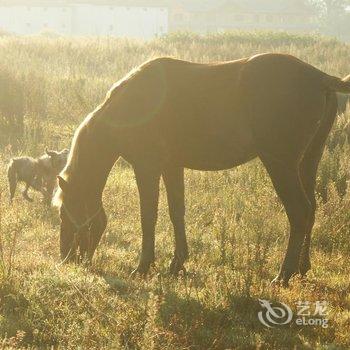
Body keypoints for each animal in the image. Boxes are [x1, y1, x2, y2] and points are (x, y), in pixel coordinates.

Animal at [54, 53, 350, 286]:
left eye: (63, 213)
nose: (66, 258)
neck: (130, 105)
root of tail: (320, 77)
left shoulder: (147, 167)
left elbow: (148, 215)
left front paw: (143, 266)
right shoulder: (172, 166)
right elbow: (176, 212)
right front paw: (176, 264)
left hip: (281, 165)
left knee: (299, 211)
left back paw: (283, 275)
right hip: (307, 162)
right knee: (311, 209)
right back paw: (302, 268)